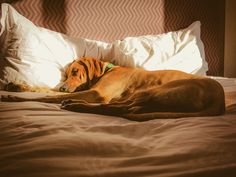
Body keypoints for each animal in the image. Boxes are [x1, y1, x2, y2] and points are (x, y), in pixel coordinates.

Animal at [2, 57, 227, 121]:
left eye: (75, 71)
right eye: (66, 74)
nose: (64, 87)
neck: (107, 69)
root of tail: (220, 101)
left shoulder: (97, 93)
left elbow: (48, 98)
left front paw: (14, 98)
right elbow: (45, 90)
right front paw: (17, 86)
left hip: (154, 91)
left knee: (117, 109)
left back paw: (75, 105)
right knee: (125, 108)